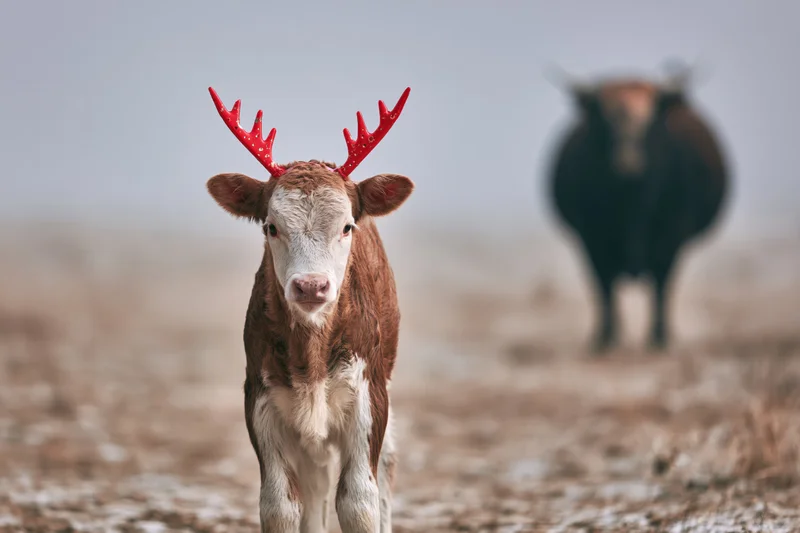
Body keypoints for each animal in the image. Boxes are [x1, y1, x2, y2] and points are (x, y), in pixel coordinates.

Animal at [205, 86, 414, 533]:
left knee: (386, 465)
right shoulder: (260, 395)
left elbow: (359, 501)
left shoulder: (368, 393)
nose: (311, 285)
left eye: (346, 225)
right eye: (271, 226)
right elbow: (279, 504)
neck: (311, 356)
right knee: (316, 482)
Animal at [546, 66, 729, 352]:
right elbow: (603, 287)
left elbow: (662, 285)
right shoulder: (591, 239)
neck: (632, 207)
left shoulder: (672, 236)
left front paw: (659, 336)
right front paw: (605, 336)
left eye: (650, 122)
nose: (628, 161)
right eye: (606, 120)